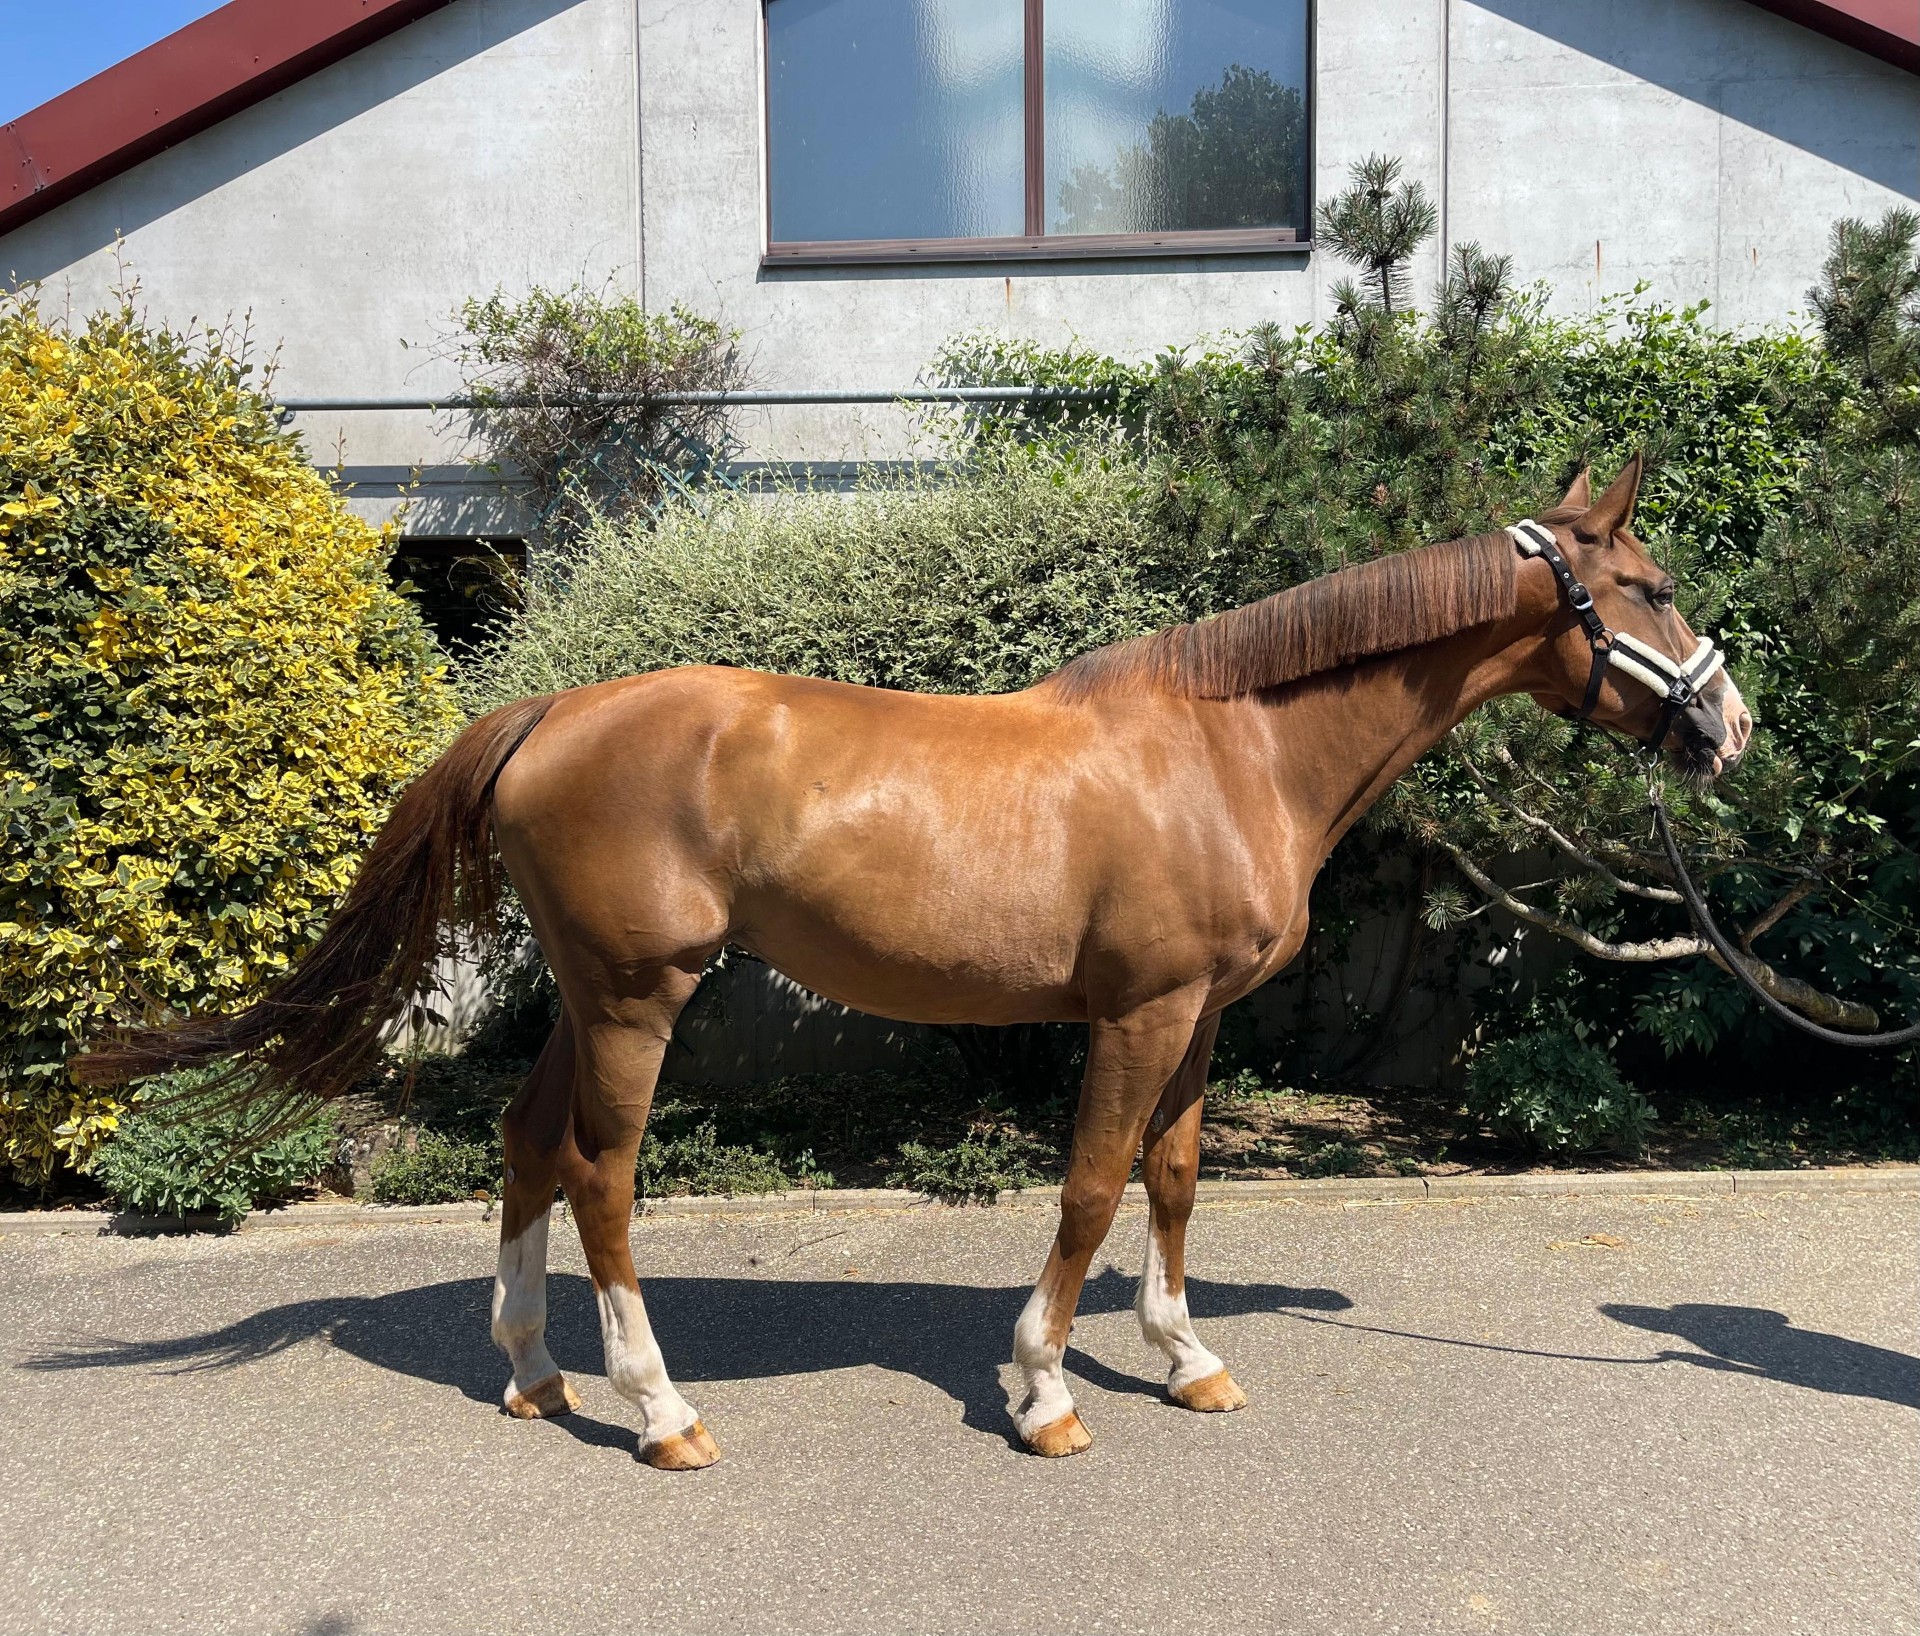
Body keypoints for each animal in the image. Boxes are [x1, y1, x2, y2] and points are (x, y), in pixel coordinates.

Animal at [79, 456, 1752, 1468]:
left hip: (588, 994)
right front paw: (1046, 1389)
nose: (1731, 727)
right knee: (605, 1176)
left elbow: (1174, 1179)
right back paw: (658, 1408)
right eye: (1653, 587)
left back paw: (536, 1370)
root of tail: (549, 711)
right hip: (638, 999)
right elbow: (1089, 1187)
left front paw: (1185, 1356)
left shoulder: (1202, 1019)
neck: (1227, 749)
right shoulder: (1138, 1013)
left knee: (525, 1144)